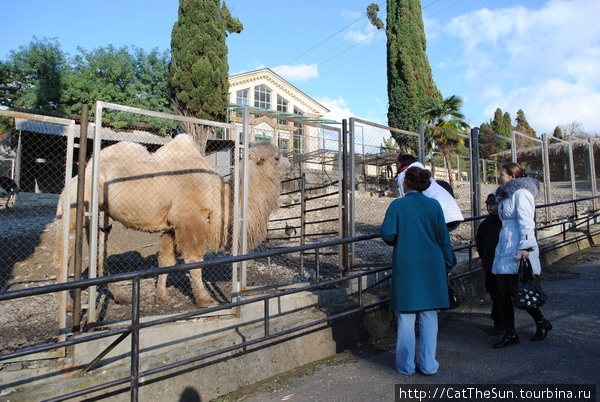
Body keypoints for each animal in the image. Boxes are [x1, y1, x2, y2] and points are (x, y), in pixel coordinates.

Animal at [54, 133, 290, 306]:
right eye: (277, 157)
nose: (291, 165)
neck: (219, 197)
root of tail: (74, 179)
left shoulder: (172, 226)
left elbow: (166, 260)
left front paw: (163, 296)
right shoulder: (189, 218)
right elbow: (194, 259)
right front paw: (204, 299)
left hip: (101, 215)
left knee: (100, 249)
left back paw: (120, 296)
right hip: (75, 207)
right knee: (64, 255)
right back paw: (68, 306)